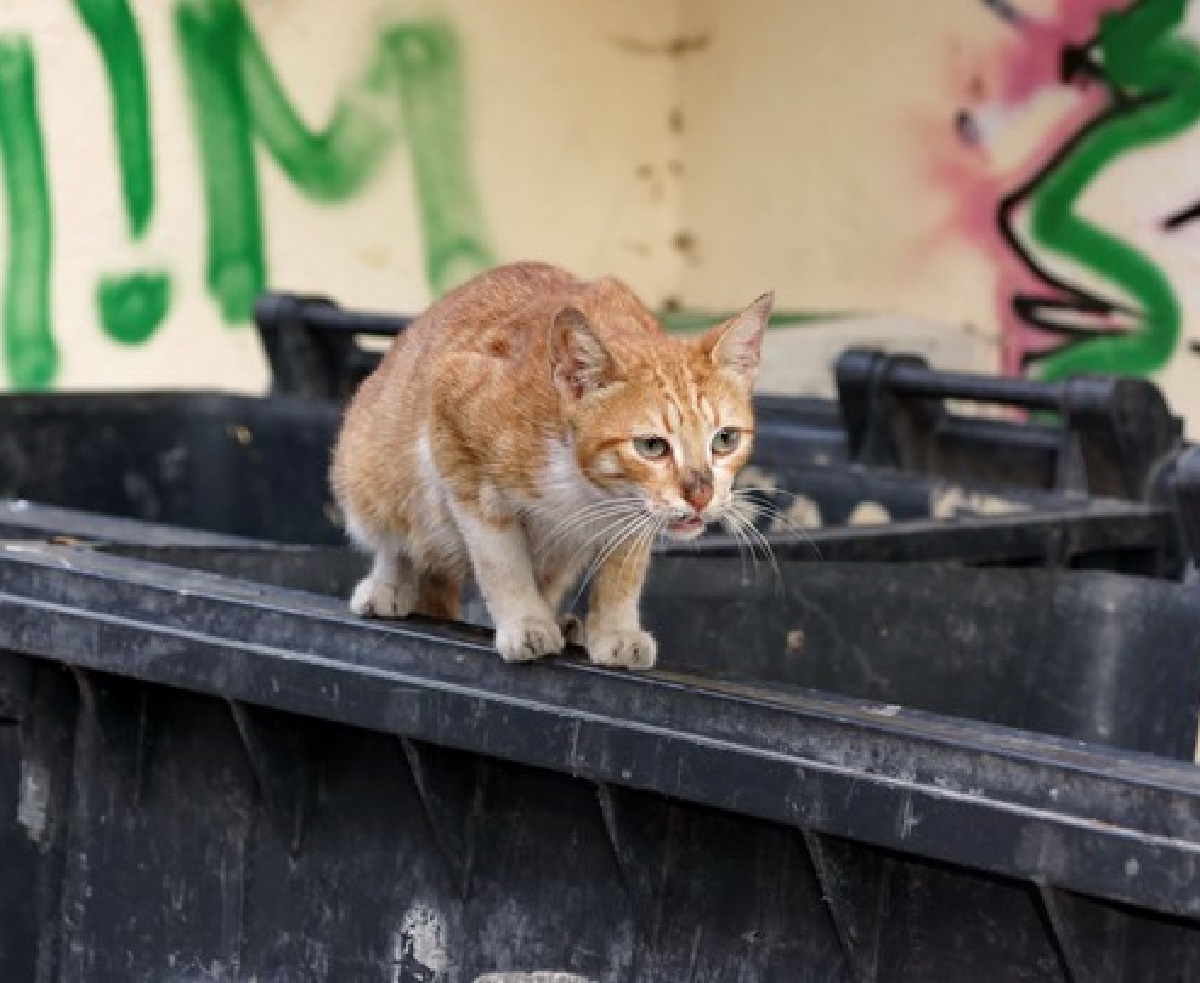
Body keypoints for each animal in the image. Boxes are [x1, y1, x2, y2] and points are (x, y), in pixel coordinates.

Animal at [333, 262, 772, 667]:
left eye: (725, 440)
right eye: (651, 446)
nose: (700, 495)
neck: (586, 489)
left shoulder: (633, 517)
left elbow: (623, 573)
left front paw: (615, 632)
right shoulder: (455, 420)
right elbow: (501, 559)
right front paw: (526, 623)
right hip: (371, 471)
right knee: (398, 543)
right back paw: (388, 587)